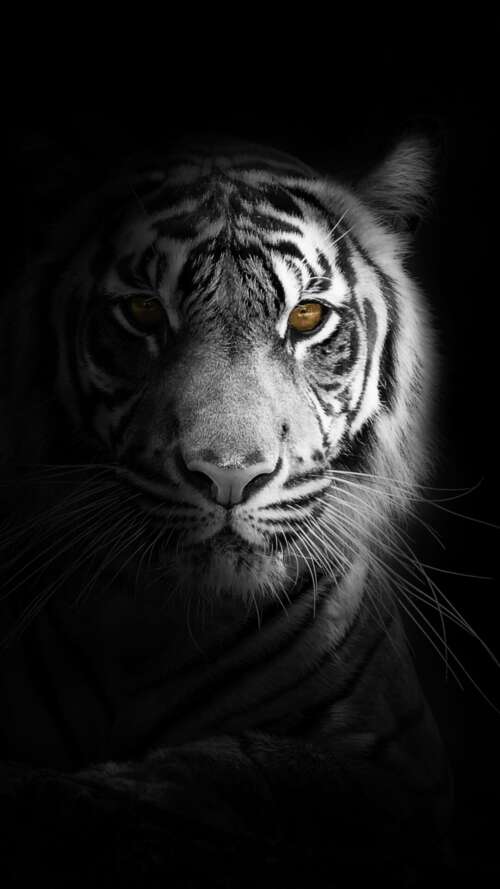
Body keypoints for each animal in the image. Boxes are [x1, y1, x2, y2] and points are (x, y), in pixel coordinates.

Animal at [0, 136, 454, 886]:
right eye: (143, 312)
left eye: (307, 318)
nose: (229, 474)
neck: (159, 626)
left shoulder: (405, 773)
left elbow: (255, 767)